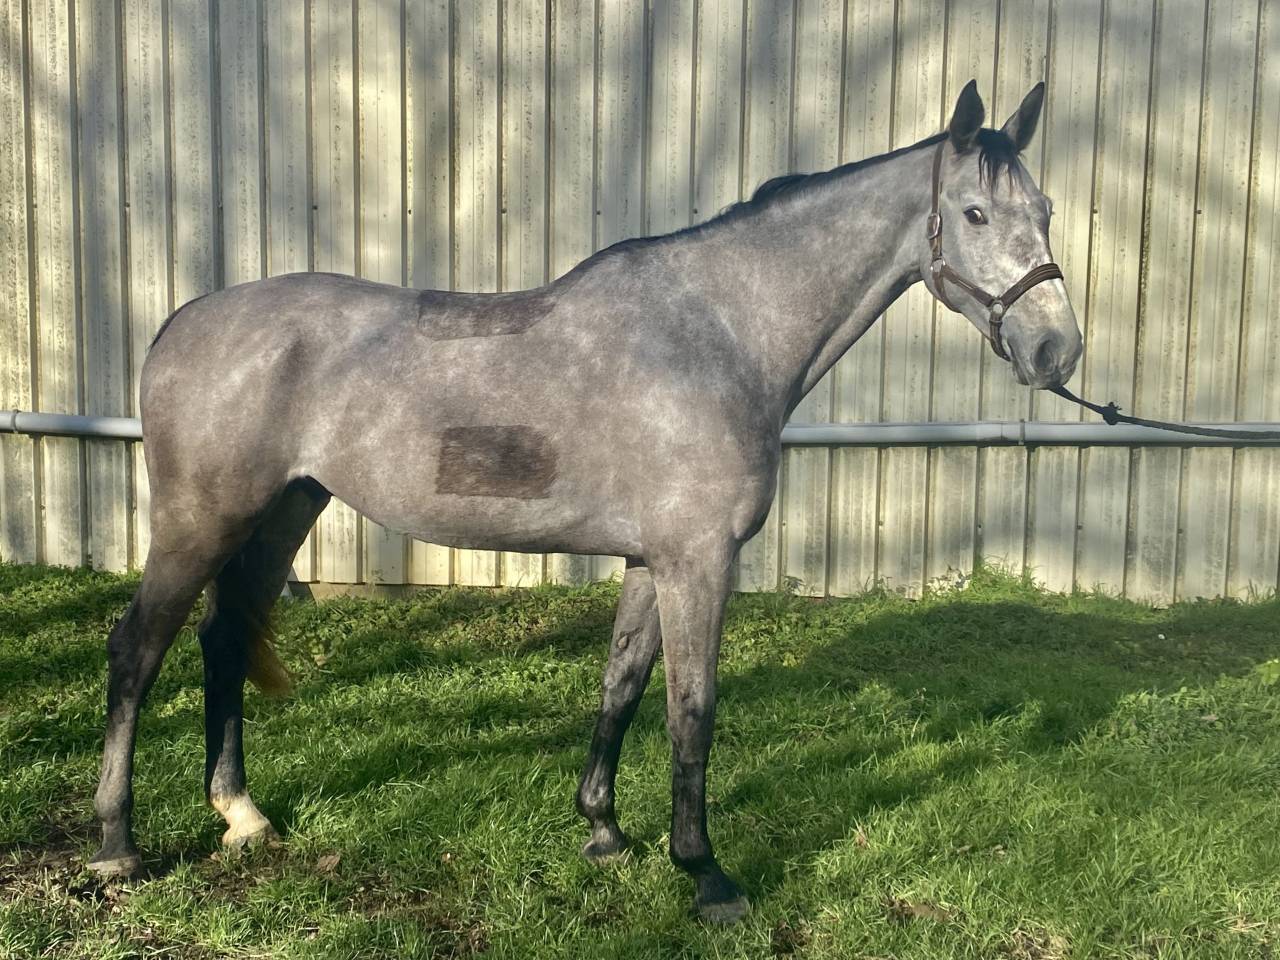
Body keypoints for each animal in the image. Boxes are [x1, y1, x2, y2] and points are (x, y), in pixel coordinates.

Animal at [88, 80, 1081, 923]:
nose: (1057, 353)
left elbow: (623, 684)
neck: (718, 333)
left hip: (283, 513)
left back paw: (243, 815)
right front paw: (706, 873)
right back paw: (117, 844)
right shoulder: (698, 564)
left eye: (1045, 212)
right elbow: (693, 710)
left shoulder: (653, 559)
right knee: (137, 651)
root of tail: (184, 320)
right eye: (974, 213)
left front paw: (603, 831)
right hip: (199, 523)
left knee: (223, 639)